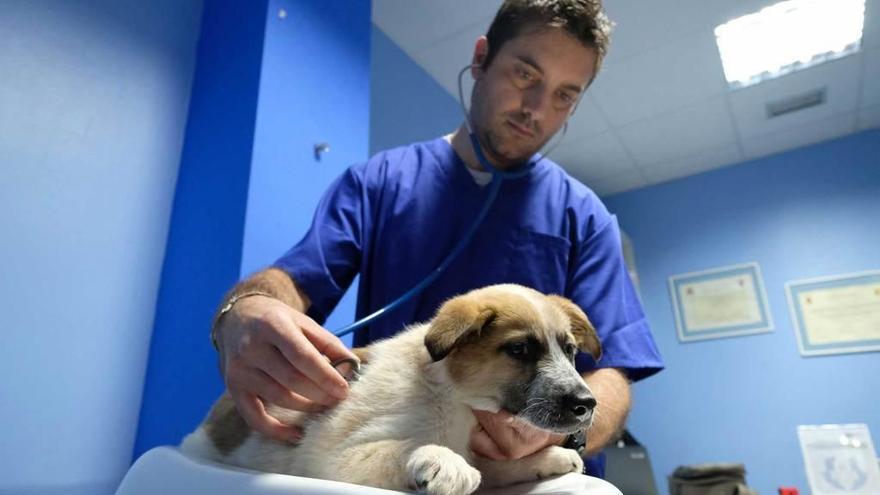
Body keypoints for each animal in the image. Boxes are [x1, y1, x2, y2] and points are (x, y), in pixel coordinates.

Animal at [181, 284, 600, 494]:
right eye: (520, 350)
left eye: (569, 350)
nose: (587, 404)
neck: (451, 396)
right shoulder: (332, 459)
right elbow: (404, 446)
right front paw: (440, 459)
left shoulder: (476, 447)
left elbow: (496, 465)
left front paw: (548, 457)